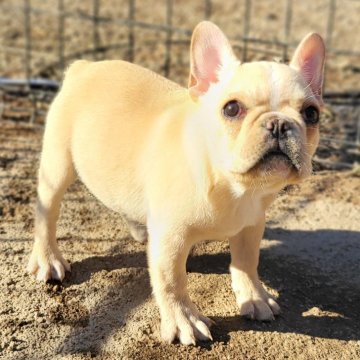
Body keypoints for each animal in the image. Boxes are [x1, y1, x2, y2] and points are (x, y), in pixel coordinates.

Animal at [28, 21, 324, 344]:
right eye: (232, 109)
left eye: (312, 113)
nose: (279, 124)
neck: (234, 187)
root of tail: (83, 67)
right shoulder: (172, 238)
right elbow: (171, 280)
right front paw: (184, 319)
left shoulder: (251, 225)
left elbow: (247, 263)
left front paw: (254, 296)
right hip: (58, 166)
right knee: (47, 213)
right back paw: (48, 259)